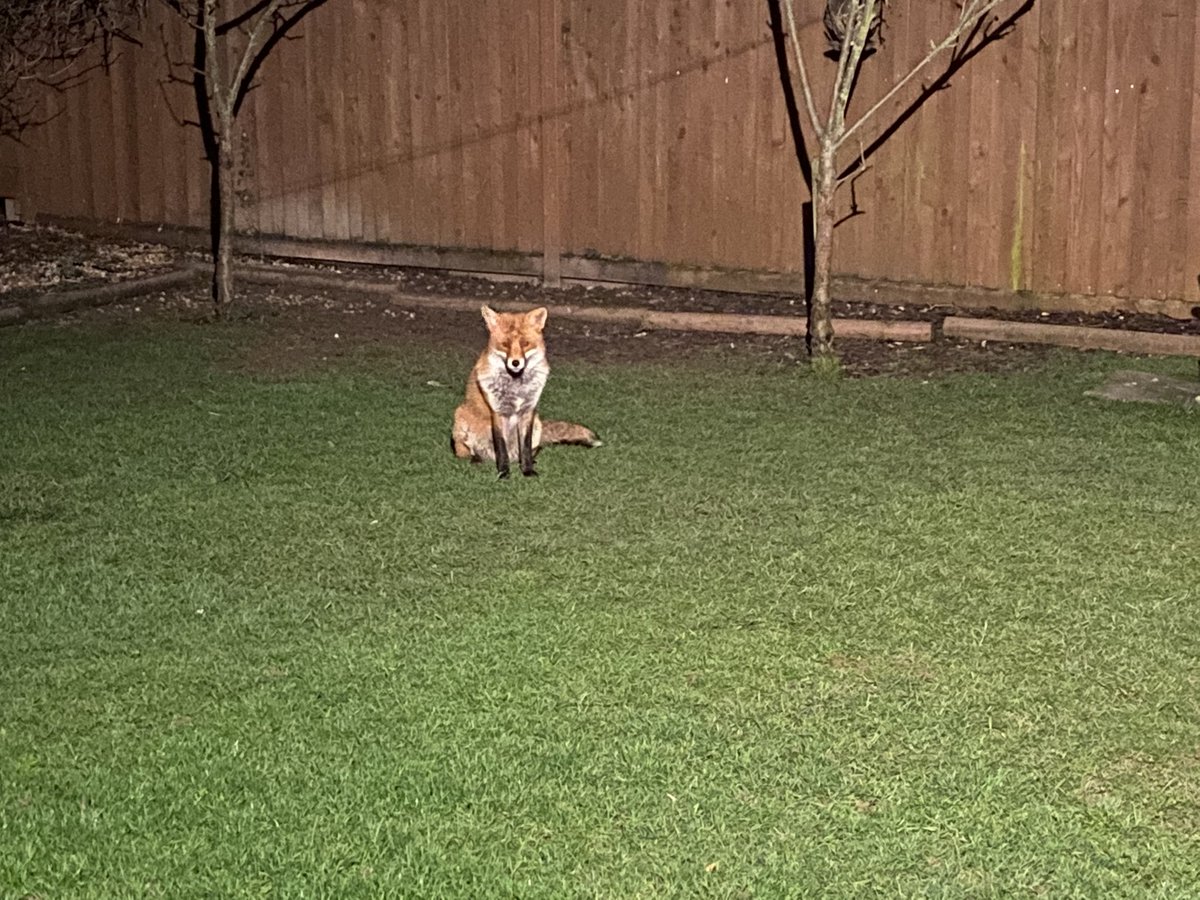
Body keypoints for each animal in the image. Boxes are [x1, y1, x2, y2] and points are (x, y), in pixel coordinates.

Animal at [451, 305, 601, 478]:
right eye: (505, 344)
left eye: (525, 344)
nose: (515, 363)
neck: (516, 387)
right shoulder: (498, 413)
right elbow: (501, 448)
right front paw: (503, 473)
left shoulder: (528, 412)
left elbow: (526, 448)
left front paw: (528, 470)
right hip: (460, 416)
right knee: (467, 451)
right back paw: (476, 459)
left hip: (537, 423)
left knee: (533, 449)